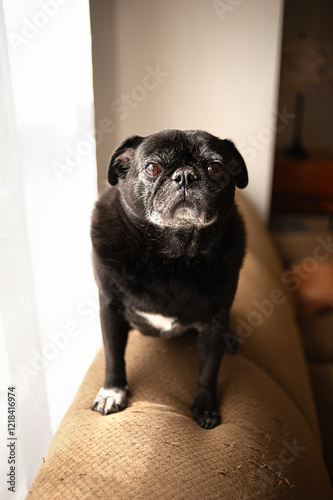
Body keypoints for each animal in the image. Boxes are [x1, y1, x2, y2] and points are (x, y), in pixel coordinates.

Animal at [90, 130, 246, 430]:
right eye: (153, 168)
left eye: (215, 167)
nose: (185, 176)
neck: (173, 258)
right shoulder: (110, 310)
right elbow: (113, 356)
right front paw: (112, 392)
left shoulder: (215, 322)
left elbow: (209, 371)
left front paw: (205, 407)